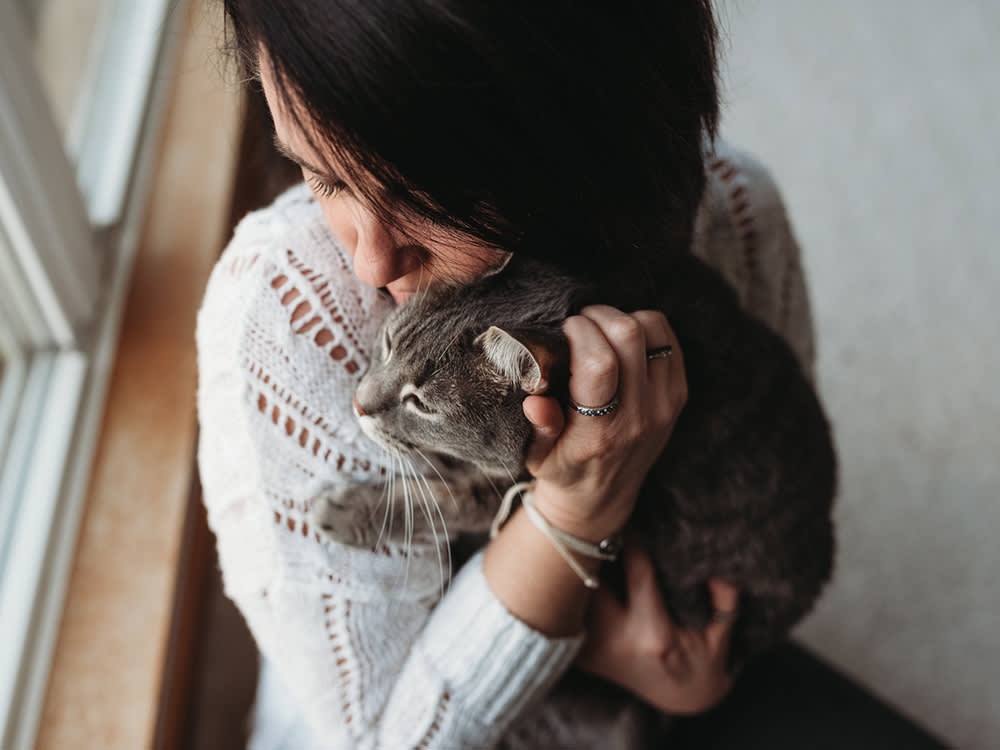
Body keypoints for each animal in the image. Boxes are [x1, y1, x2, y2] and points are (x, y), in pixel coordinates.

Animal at [312, 256, 836, 668]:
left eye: (421, 404)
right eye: (388, 344)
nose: (358, 404)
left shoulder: (507, 488)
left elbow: (441, 501)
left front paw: (349, 510)